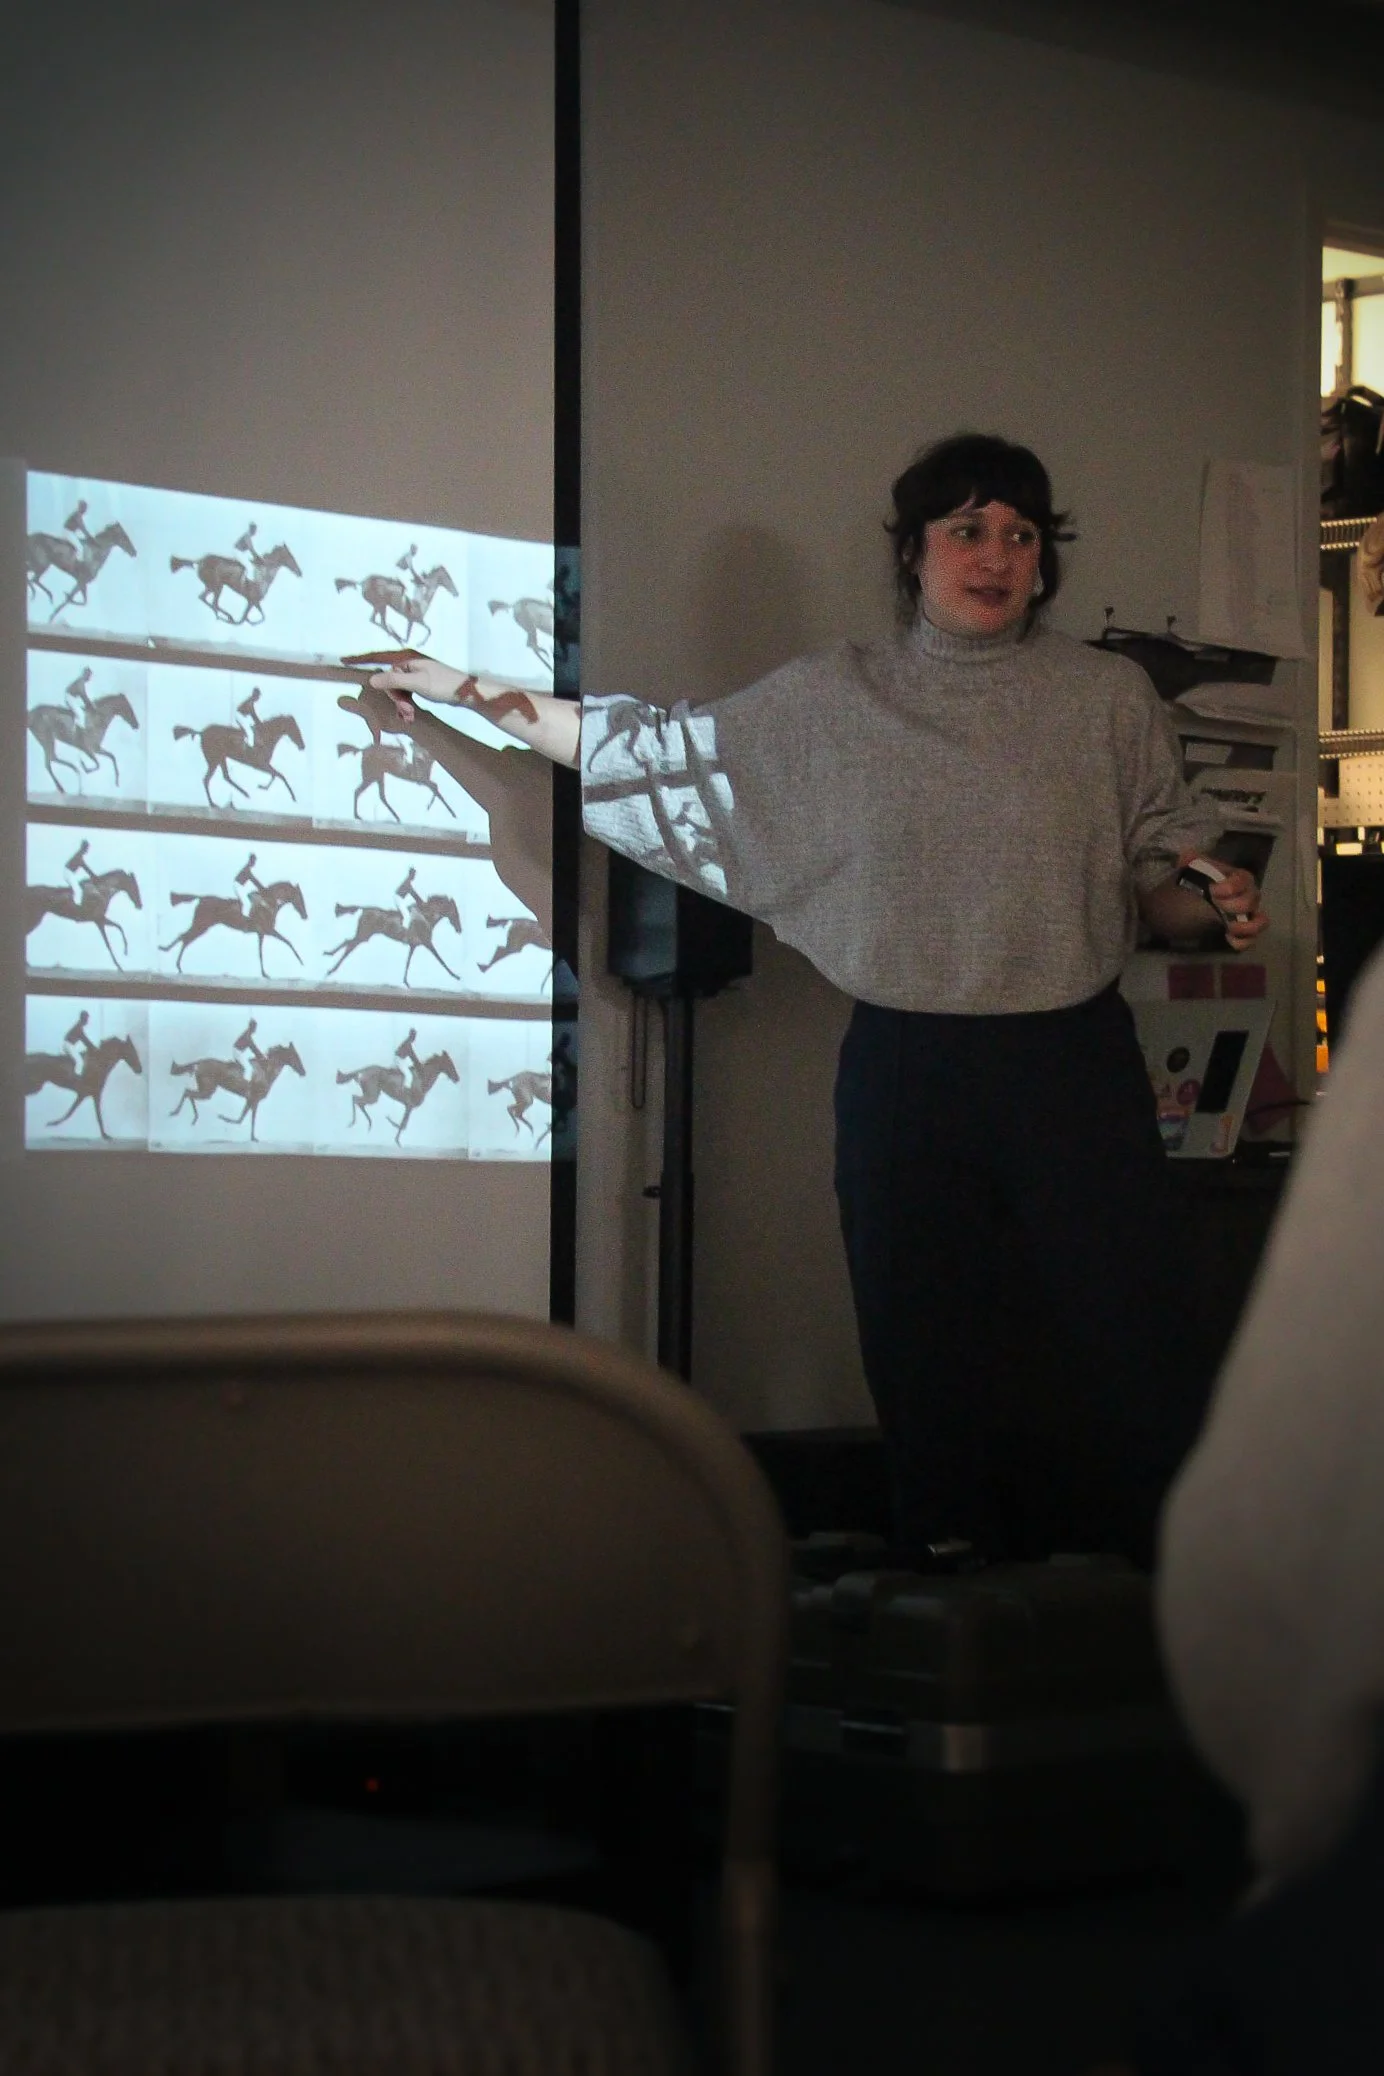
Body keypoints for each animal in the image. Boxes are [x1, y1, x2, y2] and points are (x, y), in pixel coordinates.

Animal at [160, 880, 307, 978]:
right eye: (300, 898)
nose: (305, 915)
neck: (270, 901)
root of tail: (201, 898)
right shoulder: (267, 930)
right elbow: (286, 942)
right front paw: (300, 961)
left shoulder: (261, 933)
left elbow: (263, 951)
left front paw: (265, 973)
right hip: (203, 924)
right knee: (186, 938)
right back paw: (176, 963)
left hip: (203, 924)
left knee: (184, 936)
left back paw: (168, 953)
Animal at [169, 543, 301, 625]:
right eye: (290, 557)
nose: (299, 572)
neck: (264, 577)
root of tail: (199, 561)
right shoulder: (252, 601)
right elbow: (254, 618)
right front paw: (244, 621)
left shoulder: (254, 602)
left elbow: (261, 617)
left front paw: (246, 620)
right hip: (217, 586)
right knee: (214, 603)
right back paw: (225, 617)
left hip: (211, 586)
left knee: (204, 598)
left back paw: (225, 617)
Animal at [169, 1042, 305, 1142]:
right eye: (295, 1056)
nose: (303, 1072)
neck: (267, 1072)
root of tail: (200, 1062)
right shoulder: (254, 1099)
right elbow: (244, 1119)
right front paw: (224, 1118)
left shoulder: (251, 1100)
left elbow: (243, 1118)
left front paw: (252, 1137)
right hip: (207, 1090)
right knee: (188, 1092)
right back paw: (181, 1114)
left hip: (207, 1090)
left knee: (188, 1093)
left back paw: (191, 1117)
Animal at [173, 710, 305, 809]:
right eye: (295, 729)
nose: (302, 746)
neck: (266, 736)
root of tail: (201, 732)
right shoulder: (259, 764)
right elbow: (279, 775)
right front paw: (292, 796)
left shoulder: (263, 764)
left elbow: (277, 775)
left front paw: (263, 786)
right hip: (214, 759)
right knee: (207, 779)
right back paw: (213, 803)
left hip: (221, 758)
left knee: (225, 776)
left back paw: (243, 794)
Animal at [323, 892, 462, 986]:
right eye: (455, 912)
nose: (459, 929)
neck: (427, 917)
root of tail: (365, 908)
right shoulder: (427, 942)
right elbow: (441, 960)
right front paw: (455, 976)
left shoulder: (413, 945)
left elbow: (408, 962)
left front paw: (406, 982)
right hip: (364, 934)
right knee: (349, 946)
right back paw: (331, 969)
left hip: (364, 934)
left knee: (347, 941)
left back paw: (329, 954)